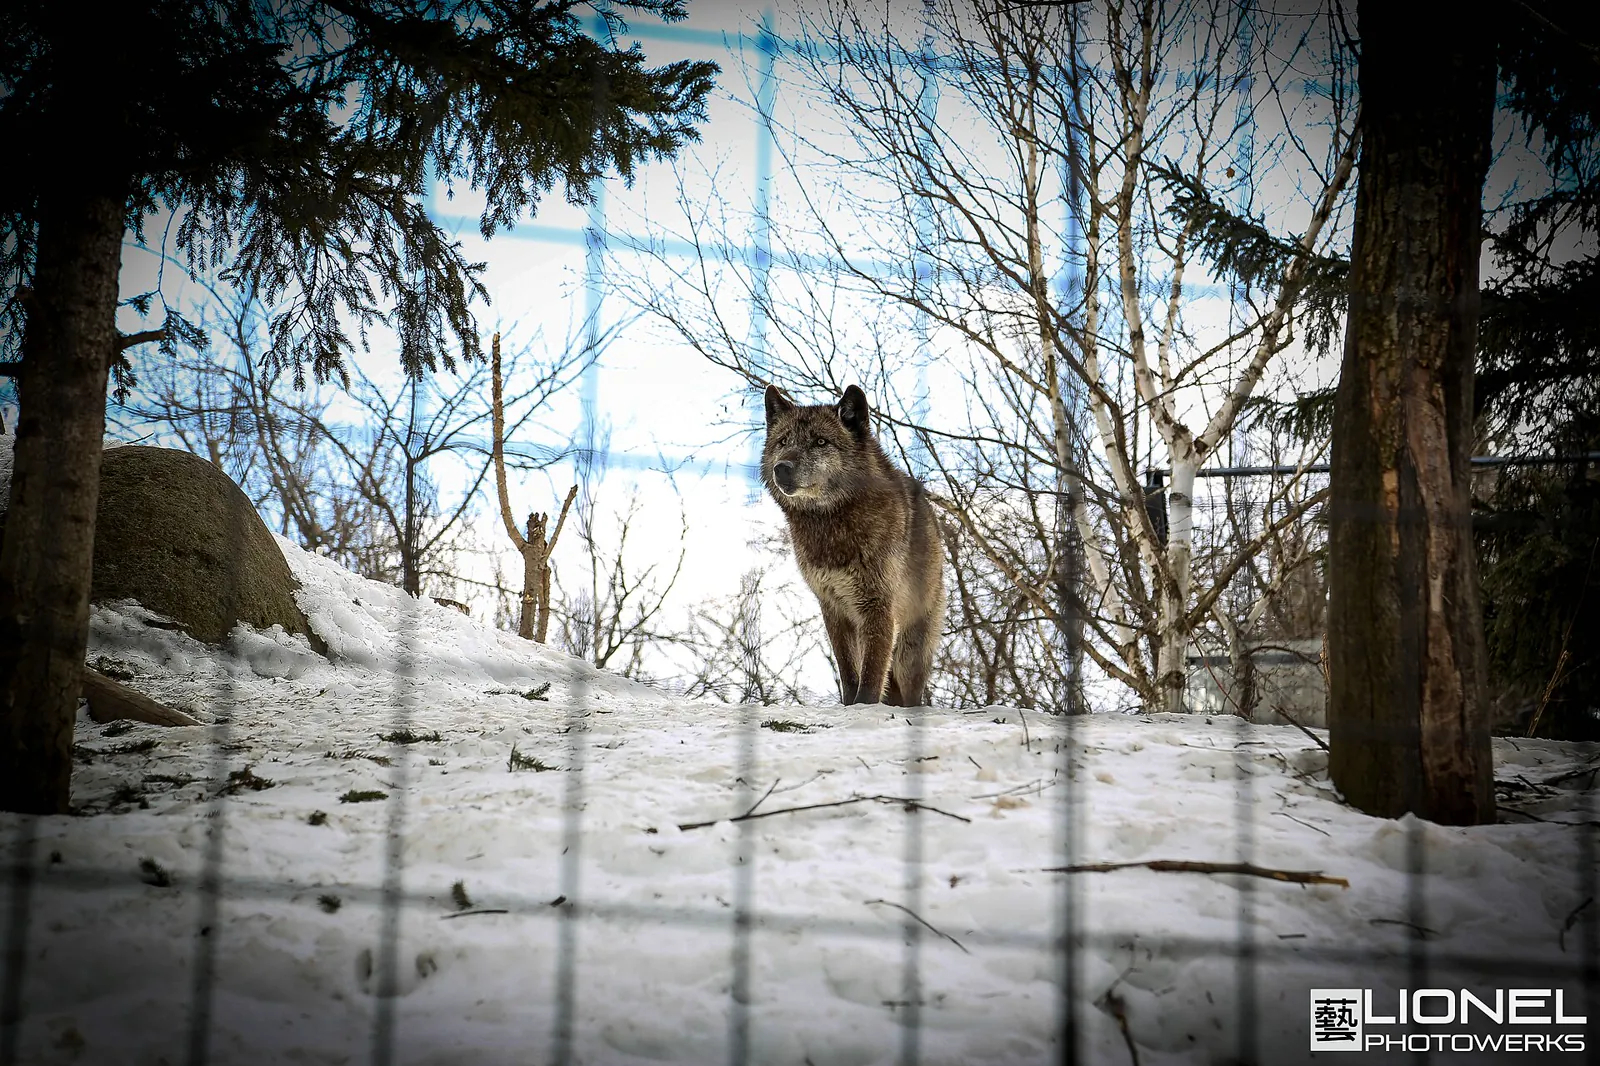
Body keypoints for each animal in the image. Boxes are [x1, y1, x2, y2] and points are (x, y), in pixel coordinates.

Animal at [762, 384, 946, 706]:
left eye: (821, 442)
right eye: (783, 441)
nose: (781, 468)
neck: (831, 523)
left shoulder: (878, 605)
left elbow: (872, 672)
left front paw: (865, 707)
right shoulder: (833, 608)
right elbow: (849, 670)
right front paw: (850, 705)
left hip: (910, 649)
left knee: (911, 691)